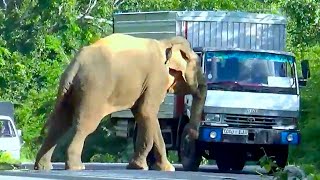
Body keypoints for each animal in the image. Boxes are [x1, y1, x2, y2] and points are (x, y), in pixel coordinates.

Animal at [33, 33, 208, 172]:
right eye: (198, 63)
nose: (191, 135)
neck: (165, 43)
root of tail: (75, 64)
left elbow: (142, 114)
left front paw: (147, 167)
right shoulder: (156, 78)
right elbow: (147, 111)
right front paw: (153, 168)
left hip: (72, 90)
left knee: (60, 123)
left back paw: (43, 167)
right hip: (93, 89)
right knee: (84, 124)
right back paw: (77, 167)